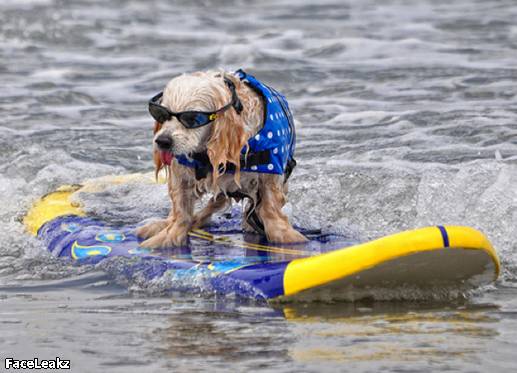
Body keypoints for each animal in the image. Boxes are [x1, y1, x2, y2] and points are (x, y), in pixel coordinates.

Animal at [136, 69, 306, 247]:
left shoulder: (270, 176)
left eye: (192, 119)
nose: (162, 141)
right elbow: (181, 212)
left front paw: (284, 235)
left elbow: (270, 208)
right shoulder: (182, 172)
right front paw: (170, 235)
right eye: (161, 115)